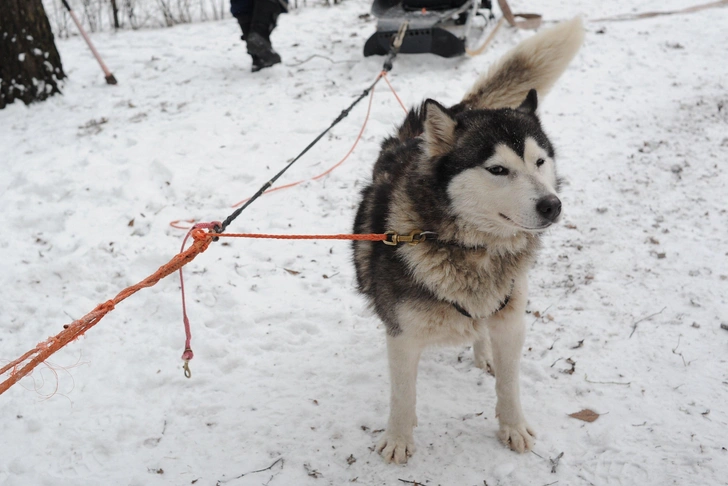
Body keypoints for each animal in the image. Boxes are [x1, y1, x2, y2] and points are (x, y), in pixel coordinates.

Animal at [352, 18, 584, 464]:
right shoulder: (403, 336)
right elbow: (403, 396)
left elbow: (509, 385)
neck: (474, 250)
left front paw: (512, 427)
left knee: (483, 330)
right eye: (497, 170)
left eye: (539, 162)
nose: (552, 205)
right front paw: (398, 439)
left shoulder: (511, 323)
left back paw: (484, 352)